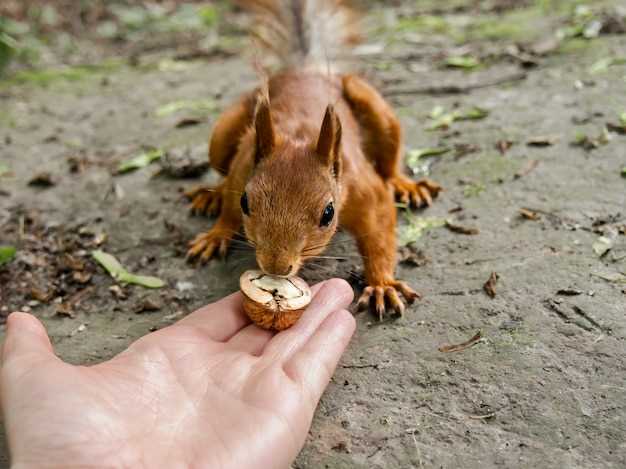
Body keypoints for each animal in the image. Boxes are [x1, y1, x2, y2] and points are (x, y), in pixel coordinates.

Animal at [184, 0, 438, 316]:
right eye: (246, 202)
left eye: (328, 214)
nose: (276, 267)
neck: (300, 136)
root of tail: (305, 70)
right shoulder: (242, 167)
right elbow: (230, 206)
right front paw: (216, 234)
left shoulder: (363, 190)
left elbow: (379, 230)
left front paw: (382, 284)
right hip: (225, 132)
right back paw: (212, 194)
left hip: (372, 104)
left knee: (389, 164)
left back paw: (405, 184)